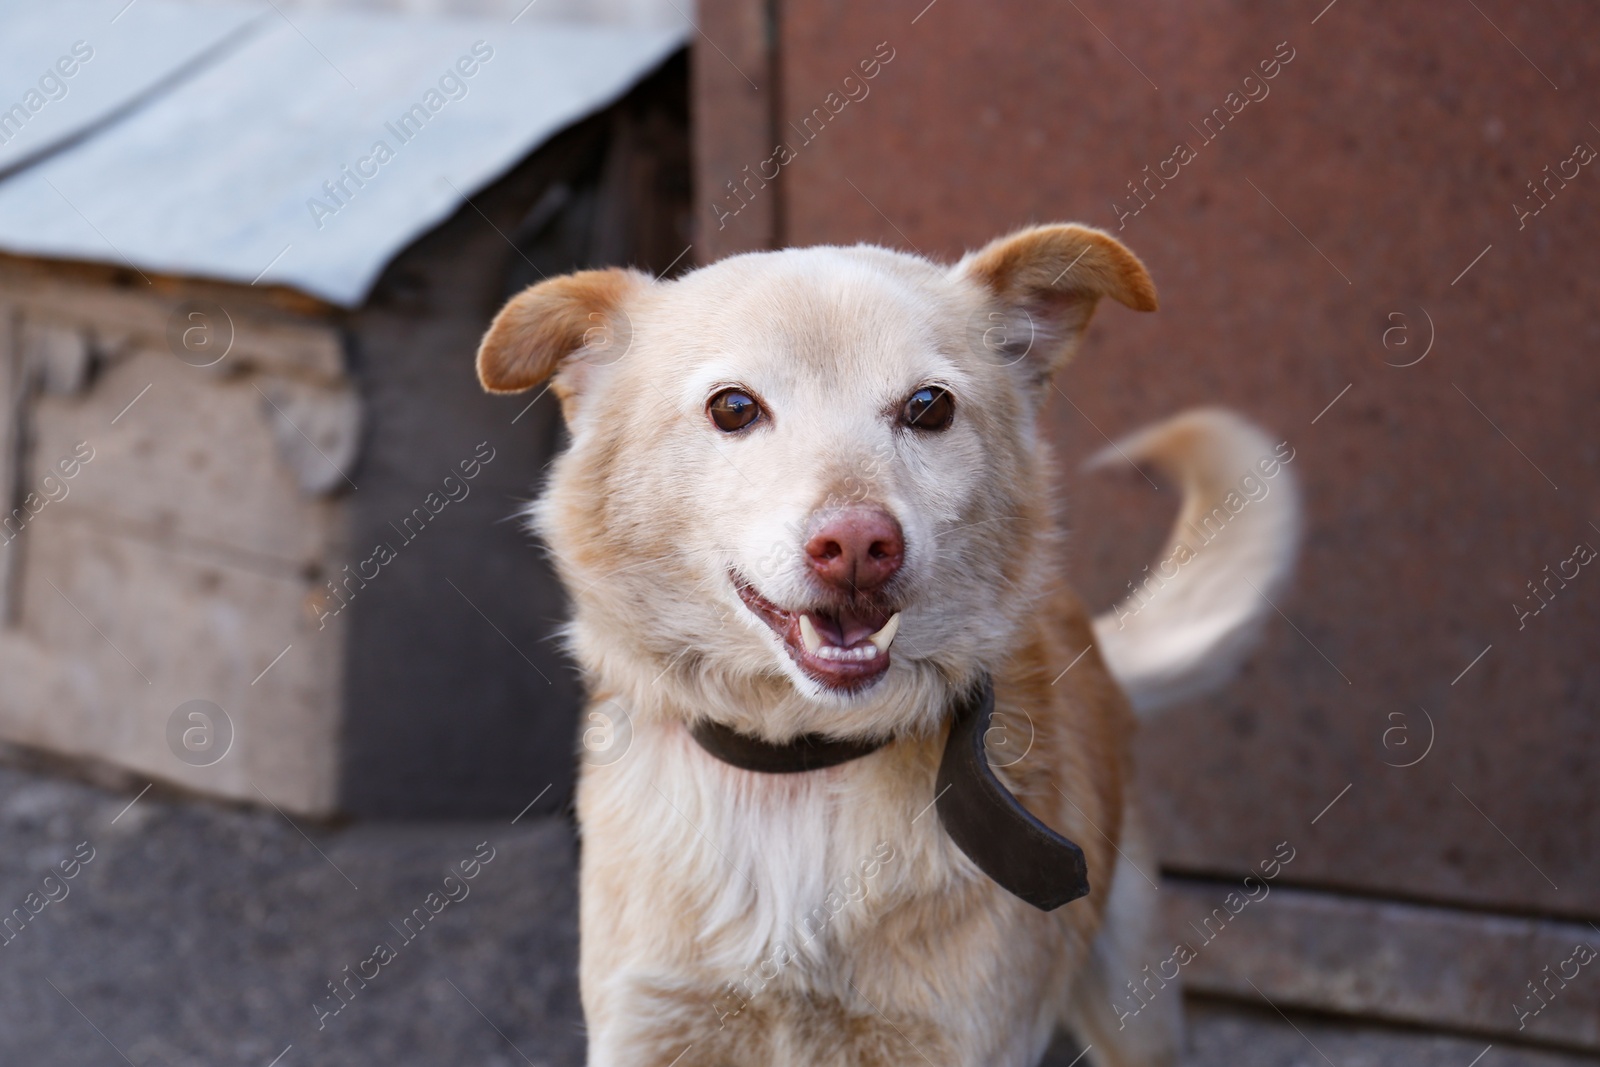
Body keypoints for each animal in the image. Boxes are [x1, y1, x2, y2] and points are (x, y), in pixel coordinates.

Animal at [473, 220, 1299, 1062]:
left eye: (928, 406)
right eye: (733, 407)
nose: (858, 544)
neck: (800, 767)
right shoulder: (649, 1026)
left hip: (1135, 998)